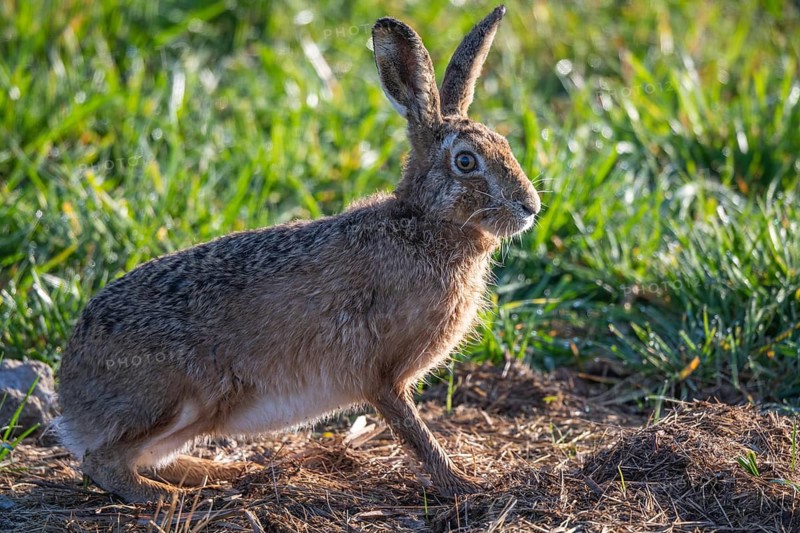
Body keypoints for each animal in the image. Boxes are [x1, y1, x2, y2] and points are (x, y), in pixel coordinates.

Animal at [56, 4, 540, 503]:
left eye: (505, 144)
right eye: (466, 161)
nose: (530, 206)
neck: (424, 224)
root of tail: (69, 393)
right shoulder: (381, 375)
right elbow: (414, 431)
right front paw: (464, 484)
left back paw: (219, 472)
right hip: (182, 397)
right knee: (102, 462)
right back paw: (170, 496)